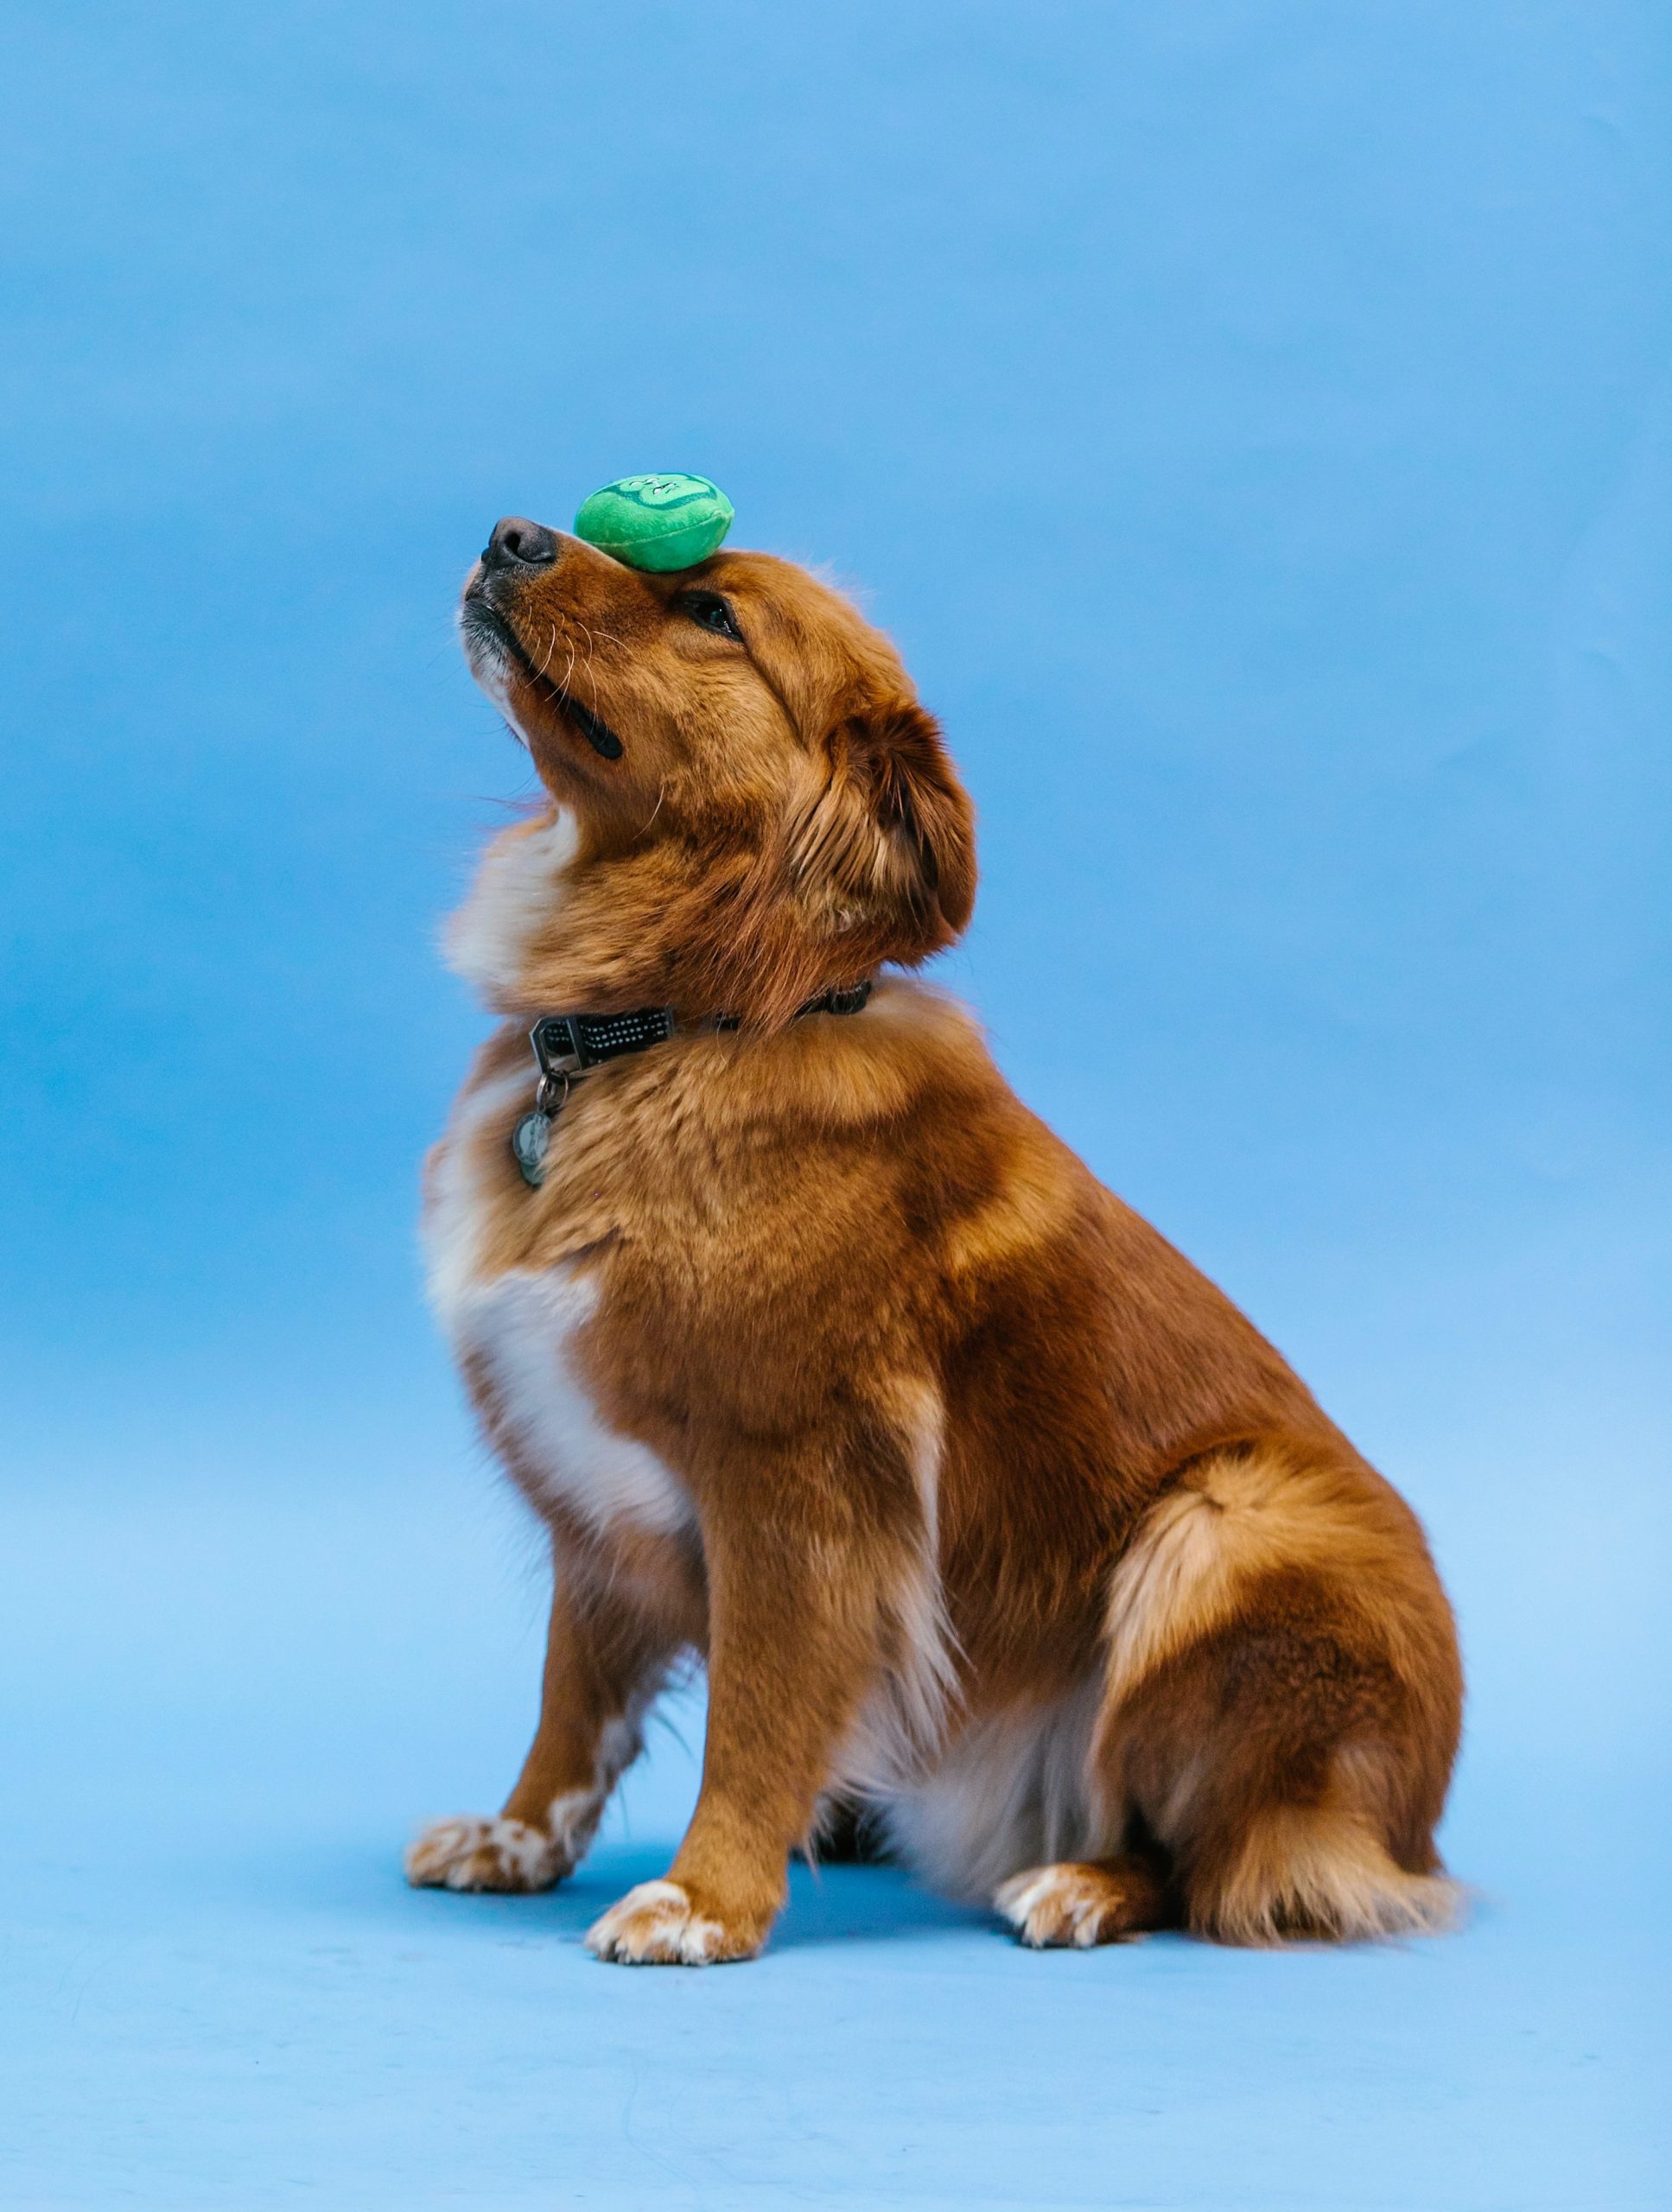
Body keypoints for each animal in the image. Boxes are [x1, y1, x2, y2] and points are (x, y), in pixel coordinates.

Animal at [404, 512, 1459, 1955]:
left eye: (714, 617)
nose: (508, 533)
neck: (680, 1021)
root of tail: (1414, 1825)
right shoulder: (592, 1498)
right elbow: (573, 1707)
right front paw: (517, 1838)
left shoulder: (796, 1486)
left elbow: (752, 1716)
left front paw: (704, 1899)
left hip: (1225, 1525)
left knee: (1210, 1852)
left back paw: (1079, 1882)